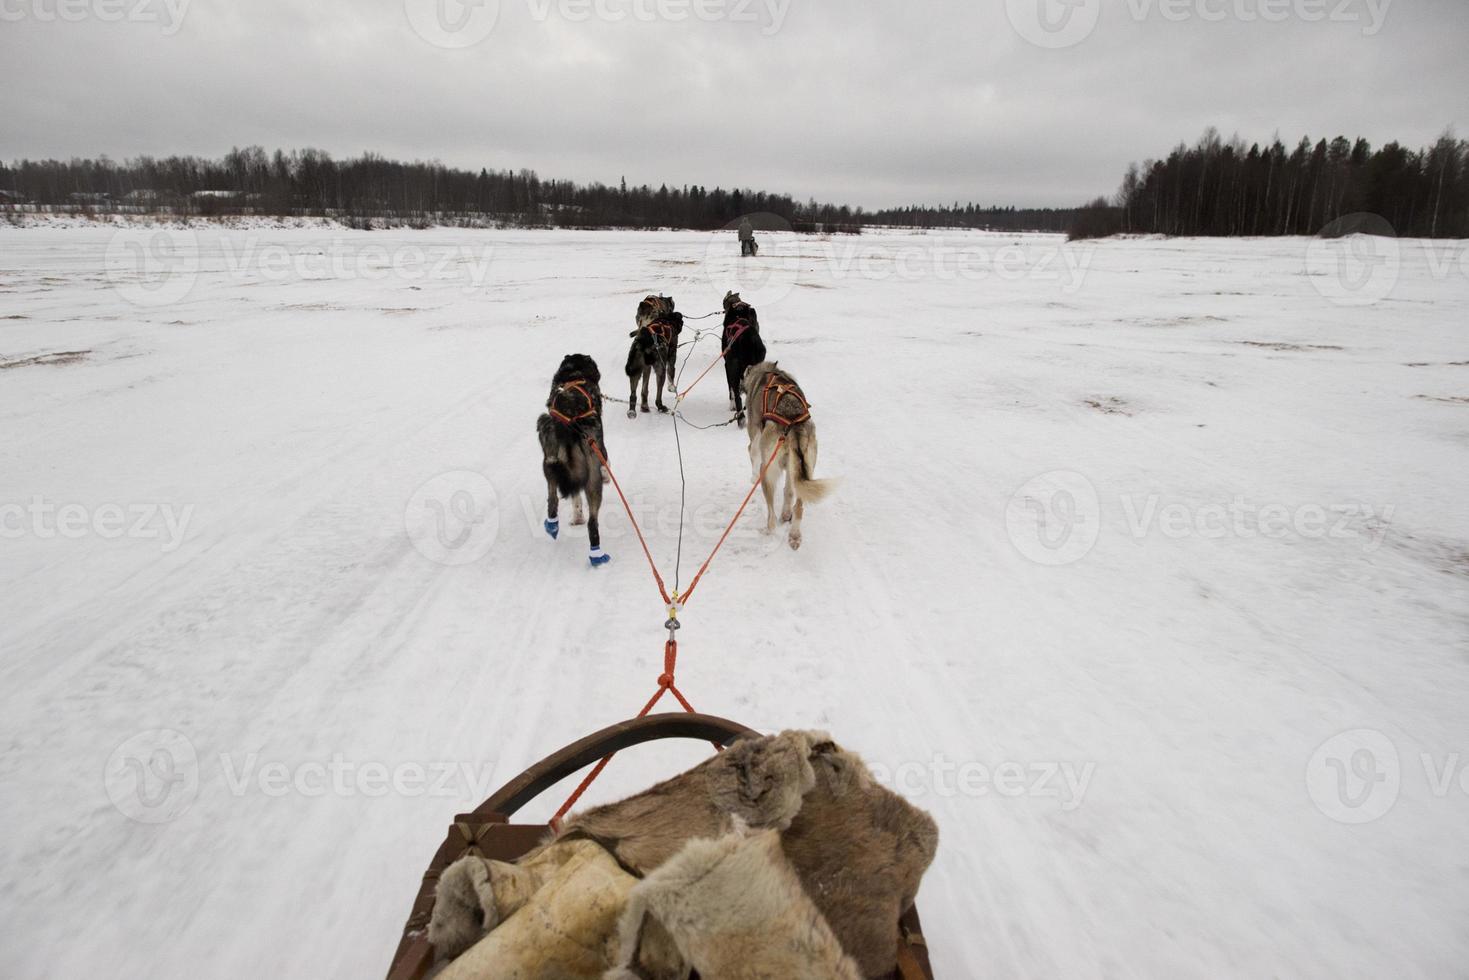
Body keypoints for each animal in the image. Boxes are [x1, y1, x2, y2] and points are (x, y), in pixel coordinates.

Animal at [722, 290, 769, 423]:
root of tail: (750, 339)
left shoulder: (727, 365)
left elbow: (731, 389)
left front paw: (731, 405)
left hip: (733, 366)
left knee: (736, 394)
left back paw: (740, 417)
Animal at [740, 364, 834, 555]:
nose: (739, 387)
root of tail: (792, 424)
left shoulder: (754, 437)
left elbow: (751, 452)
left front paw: (752, 478)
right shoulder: (793, 470)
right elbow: (788, 491)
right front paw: (786, 512)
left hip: (767, 470)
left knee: (771, 516)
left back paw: (769, 530)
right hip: (806, 467)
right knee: (798, 506)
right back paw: (794, 534)